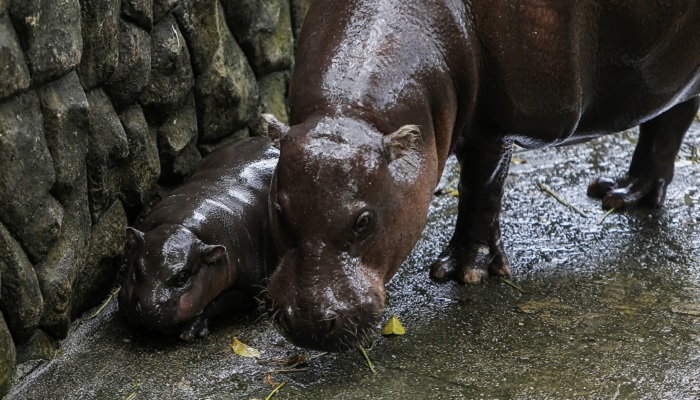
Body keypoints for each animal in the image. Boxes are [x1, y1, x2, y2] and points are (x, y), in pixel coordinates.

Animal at [119, 136, 278, 340]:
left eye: (183, 277)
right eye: (137, 271)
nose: (148, 308)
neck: (183, 226)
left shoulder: (252, 284)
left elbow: (223, 300)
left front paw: (192, 329)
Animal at [264, 0, 700, 350]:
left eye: (363, 221)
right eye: (279, 213)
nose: (308, 323)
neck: (351, 115)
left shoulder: (494, 128)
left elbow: (480, 190)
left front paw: (463, 272)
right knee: (667, 122)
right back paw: (619, 193)